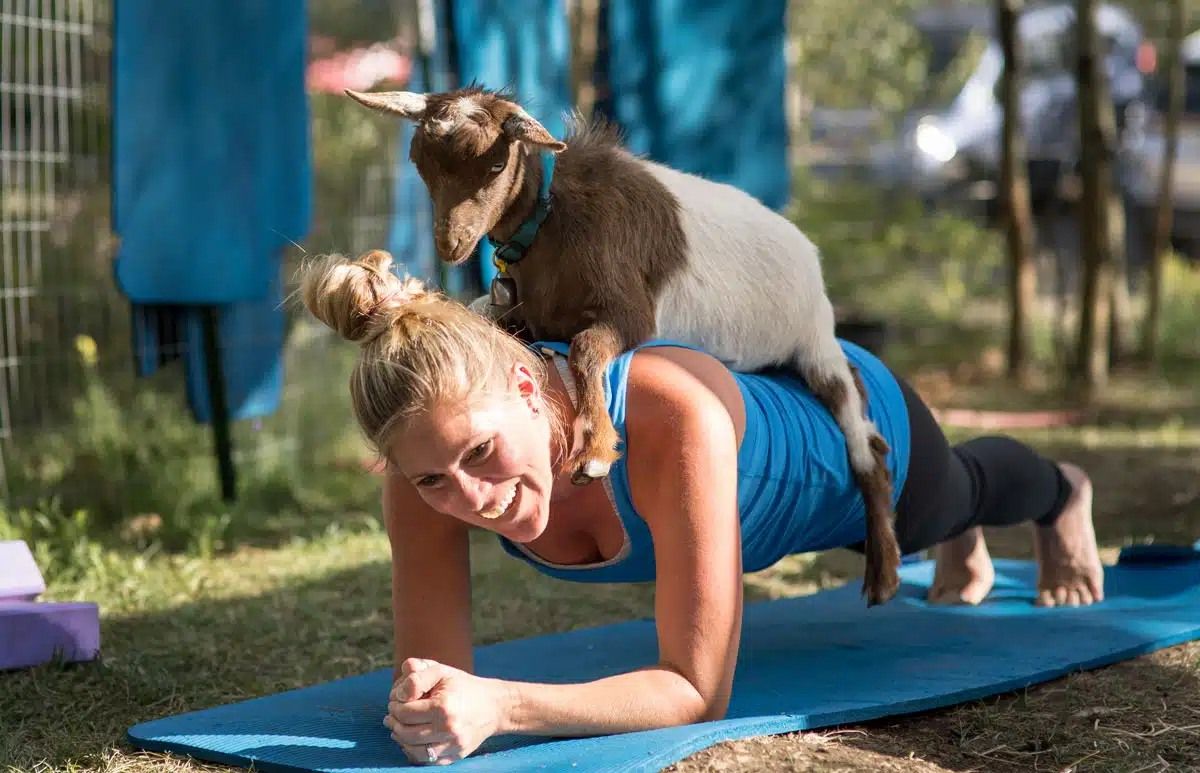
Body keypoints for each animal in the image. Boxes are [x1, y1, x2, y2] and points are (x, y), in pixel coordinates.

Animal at [348, 84, 902, 604]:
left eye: (497, 161)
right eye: (420, 162)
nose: (451, 244)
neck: (549, 222)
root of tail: (808, 253)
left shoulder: (631, 313)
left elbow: (588, 348)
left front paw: (594, 451)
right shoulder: (520, 312)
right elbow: (492, 315)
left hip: (815, 344)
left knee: (864, 441)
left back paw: (884, 572)